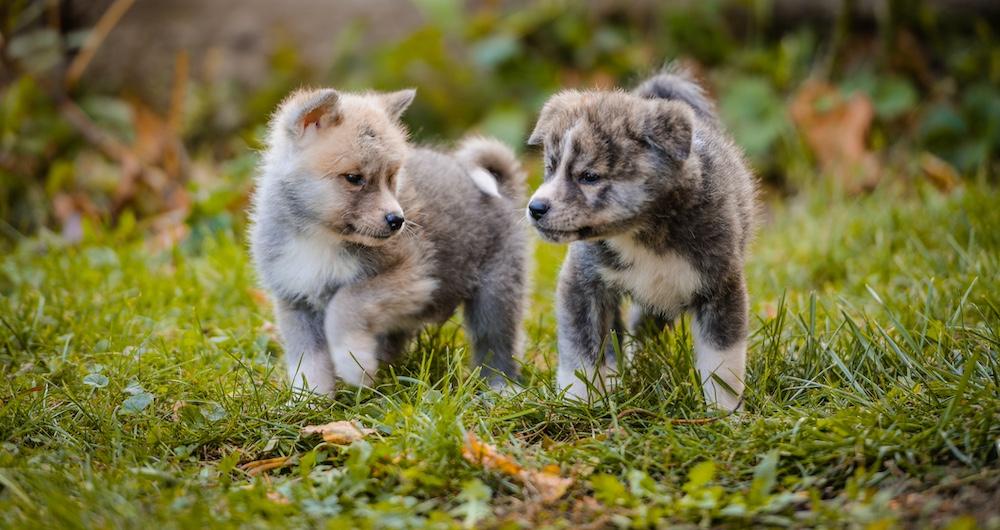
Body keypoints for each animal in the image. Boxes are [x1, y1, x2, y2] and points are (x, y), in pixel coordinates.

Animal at [250, 87, 532, 392]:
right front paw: (309, 398)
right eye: (354, 178)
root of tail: (506, 192)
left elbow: (344, 304)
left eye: (392, 176)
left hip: (495, 294)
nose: (397, 220)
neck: (321, 237)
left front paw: (354, 363)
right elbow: (309, 363)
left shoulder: (411, 277)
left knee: (496, 344)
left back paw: (501, 388)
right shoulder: (294, 299)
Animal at [528, 69, 752, 408]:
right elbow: (581, 355)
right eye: (550, 169)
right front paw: (578, 404)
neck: (641, 233)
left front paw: (723, 413)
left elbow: (721, 365)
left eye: (589, 176)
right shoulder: (582, 284)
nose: (535, 208)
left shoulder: (720, 288)